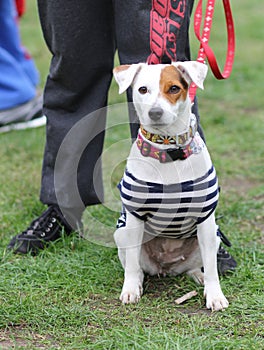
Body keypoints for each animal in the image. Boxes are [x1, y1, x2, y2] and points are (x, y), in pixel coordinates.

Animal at [112, 60, 228, 312]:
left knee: (197, 265)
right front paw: (130, 290)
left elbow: (212, 268)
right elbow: (132, 264)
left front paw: (215, 295)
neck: (167, 150)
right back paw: (137, 281)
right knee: (136, 267)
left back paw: (199, 277)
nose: (155, 112)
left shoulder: (205, 220)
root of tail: (166, 268)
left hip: (211, 238)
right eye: (142, 89)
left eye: (174, 88)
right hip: (122, 234)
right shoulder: (135, 218)